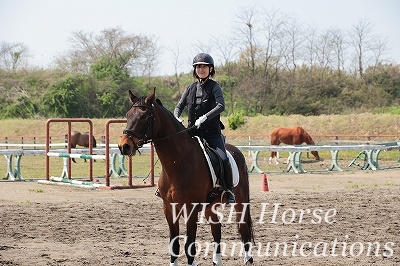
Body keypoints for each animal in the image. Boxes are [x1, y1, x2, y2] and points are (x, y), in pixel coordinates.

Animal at [118, 90, 253, 266]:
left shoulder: (191, 210)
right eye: (127, 115)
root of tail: (237, 152)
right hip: (210, 206)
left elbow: (190, 245)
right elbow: (174, 244)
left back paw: (248, 259)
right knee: (217, 230)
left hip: (240, 201)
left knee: (244, 230)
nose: (124, 146)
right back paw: (217, 261)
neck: (178, 163)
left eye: (144, 116)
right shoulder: (169, 209)